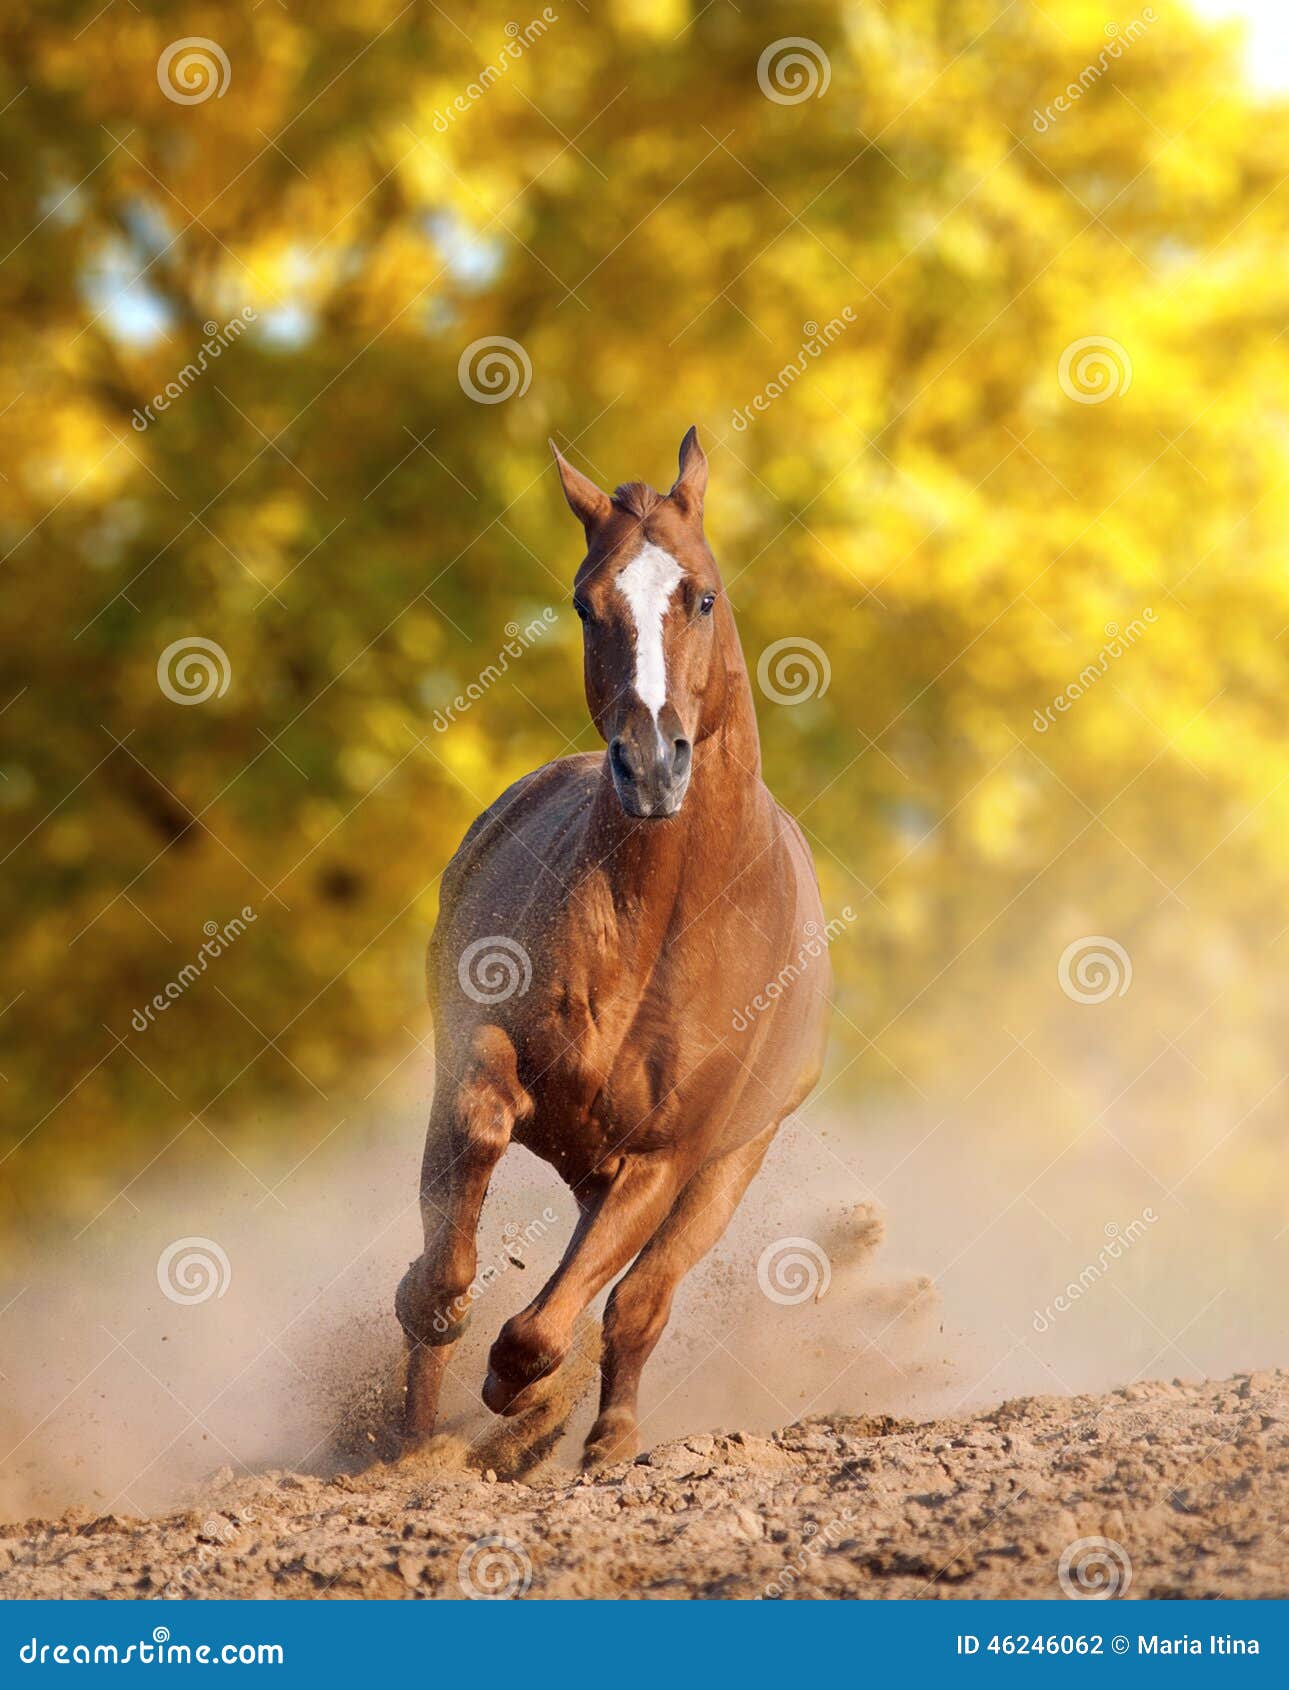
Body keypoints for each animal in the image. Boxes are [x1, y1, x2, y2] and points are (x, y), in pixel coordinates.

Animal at [395, 427, 830, 1468]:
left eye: (701, 595)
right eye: (586, 604)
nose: (651, 766)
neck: (661, 921)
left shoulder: (666, 1157)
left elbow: (559, 1324)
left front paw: (521, 1396)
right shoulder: (482, 1051)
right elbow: (471, 1149)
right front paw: (439, 1312)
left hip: (728, 1162)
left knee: (637, 1302)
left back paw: (601, 1437)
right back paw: (420, 1436)